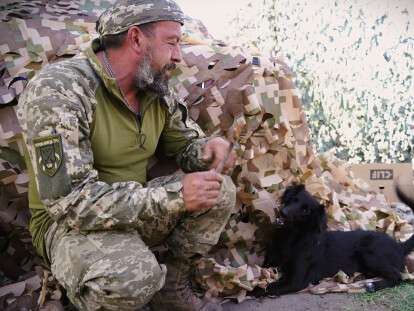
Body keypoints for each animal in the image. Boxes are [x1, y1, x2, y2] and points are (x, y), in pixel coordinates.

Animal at [251, 185, 414, 298]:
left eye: (305, 211)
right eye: (294, 199)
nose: (283, 213)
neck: (293, 237)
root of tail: (399, 245)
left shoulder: (296, 281)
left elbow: (270, 287)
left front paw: (251, 291)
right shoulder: (270, 263)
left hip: (370, 253)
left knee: (399, 277)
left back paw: (373, 285)